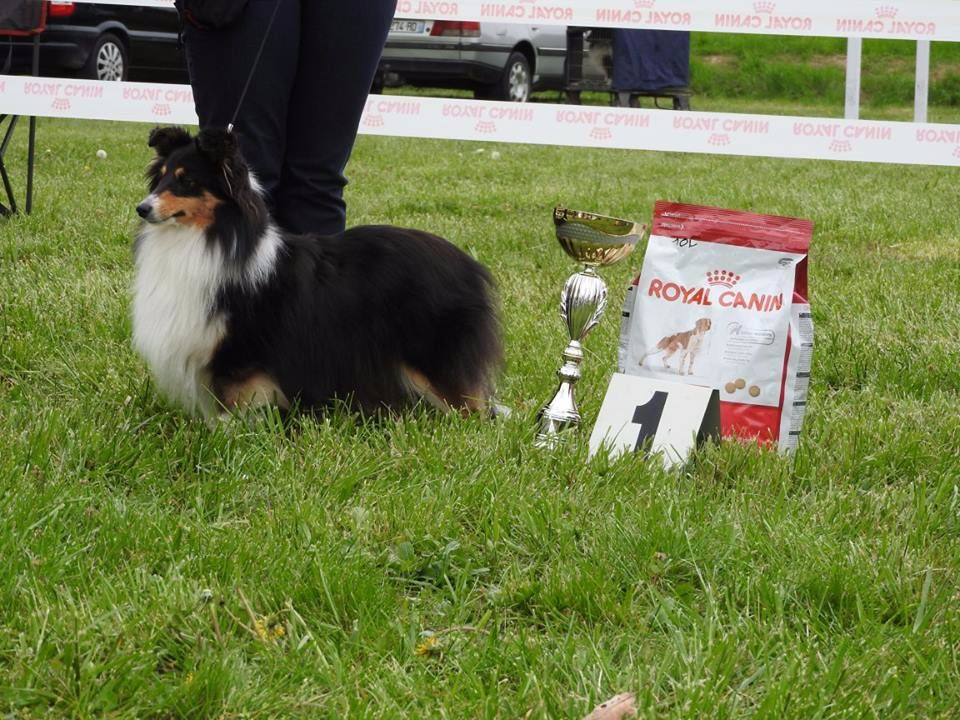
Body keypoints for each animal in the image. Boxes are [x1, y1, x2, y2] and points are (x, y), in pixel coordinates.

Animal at [133, 128, 502, 422]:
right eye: (161, 177)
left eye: (188, 180)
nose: (142, 208)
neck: (213, 237)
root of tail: (470, 266)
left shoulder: (238, 352)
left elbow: (231, 403)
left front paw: (226, 435)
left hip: (432, 353)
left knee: (470, 406)